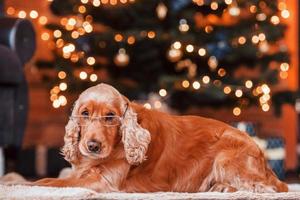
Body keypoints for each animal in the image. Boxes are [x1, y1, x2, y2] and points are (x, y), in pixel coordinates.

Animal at [33, 83, 288, 192]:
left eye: (110, 116)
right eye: (84, 114)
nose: (92, 146)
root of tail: (262, 156)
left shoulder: (104, 181)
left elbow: (54, 182)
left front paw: (30, 184)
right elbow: (61, 177)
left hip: (226, 158)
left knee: (267, 188)